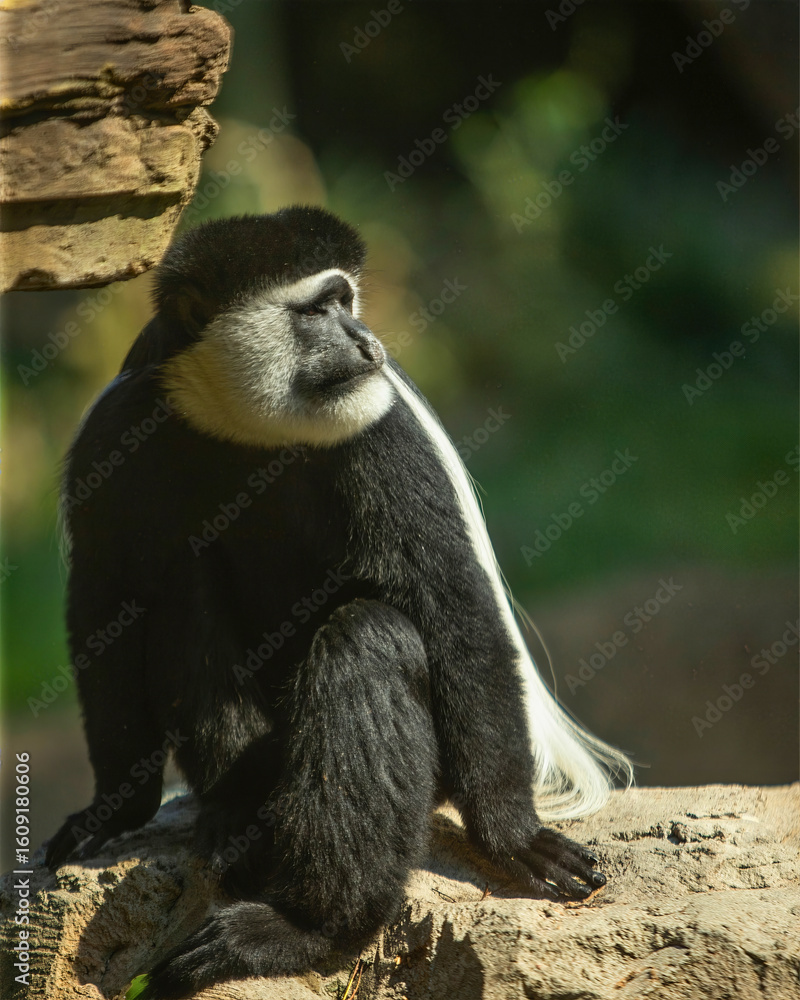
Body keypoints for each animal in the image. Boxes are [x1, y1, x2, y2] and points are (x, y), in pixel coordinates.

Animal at [44, 206, 632, 998]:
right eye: (315, 310)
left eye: (344, 300)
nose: (362, 340)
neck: (242, 420)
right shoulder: (115, 427)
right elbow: (107, 600)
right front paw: (110, 811)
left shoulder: (379, 426)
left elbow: (454, 609)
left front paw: (514, 838)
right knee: (181, 586)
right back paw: (239, 817)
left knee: (370, 641)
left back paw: (300, 930)